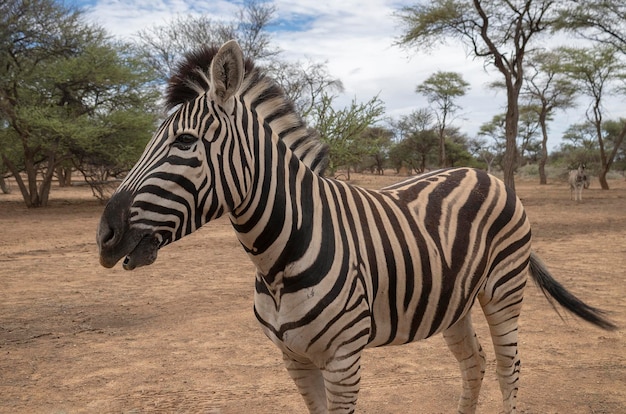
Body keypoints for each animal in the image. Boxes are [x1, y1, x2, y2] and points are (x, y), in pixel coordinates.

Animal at [97, 39, 616, 414]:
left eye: (185, 142)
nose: (104, 236)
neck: (276, 261)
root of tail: (481, 172)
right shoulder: (294, 360)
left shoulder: (343, 361)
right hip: (455, 301)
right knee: (476, 364)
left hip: (503, 289)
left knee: (510, 367)